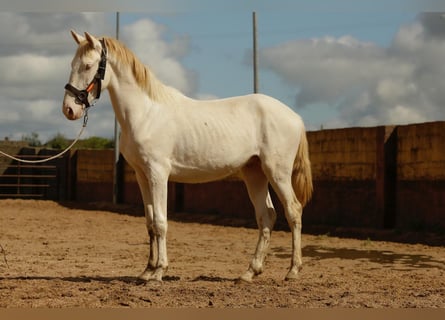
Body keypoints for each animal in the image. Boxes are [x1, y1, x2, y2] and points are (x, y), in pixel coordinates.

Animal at [62, 30, 312, 282]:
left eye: (88, 65)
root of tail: (295, 117)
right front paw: (147, 270)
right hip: (254, 173)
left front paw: (159, 272)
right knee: (266, 216)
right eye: (72, 64)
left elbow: (161, 222)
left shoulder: (158, 174)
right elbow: (150, 223)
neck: (146, 113)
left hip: (277, 172)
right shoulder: (142, 176)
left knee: (293, 211)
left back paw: (293, 270)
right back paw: (250, 272)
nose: (69, 110)